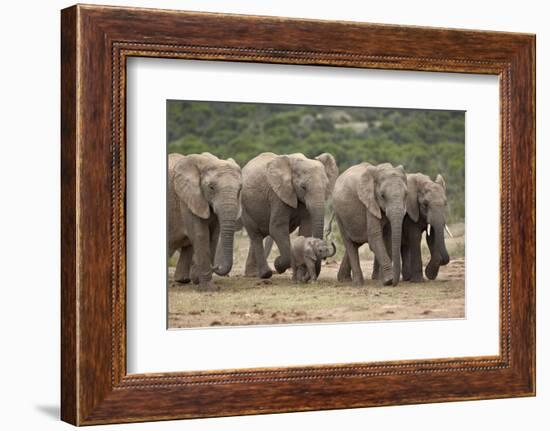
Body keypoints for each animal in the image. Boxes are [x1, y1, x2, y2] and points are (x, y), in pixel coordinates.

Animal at [169, 152, 243, 290]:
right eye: (211, 187)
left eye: (240, 189)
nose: (216, 266)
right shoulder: (187, 198)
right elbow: (200, 234)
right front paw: (209, 289)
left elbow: (213, 236)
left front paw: (200, 281)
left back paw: (183, 280)